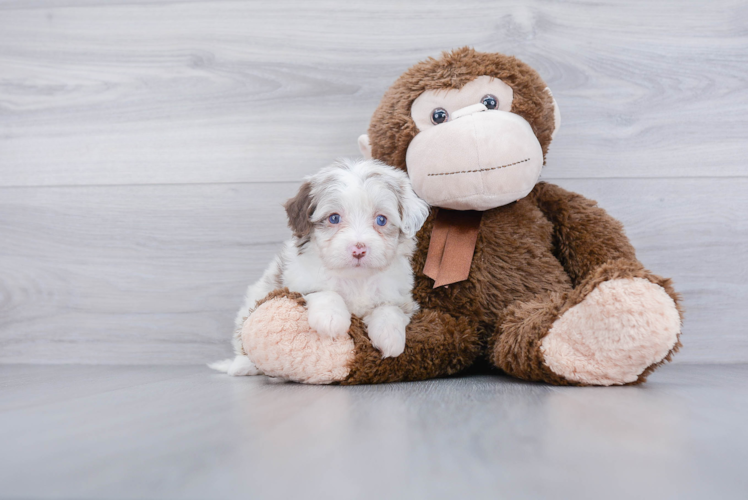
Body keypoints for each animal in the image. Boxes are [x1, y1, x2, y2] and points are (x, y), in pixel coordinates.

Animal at [213, 159, 430, 376]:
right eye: (334, 218)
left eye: (381, 220)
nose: (359, 249)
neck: (356, 279)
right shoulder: (298, 283)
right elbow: (325, 292)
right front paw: (332, 319)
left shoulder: (400, 297)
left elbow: (389, 308)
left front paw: (390, 336)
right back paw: (243, 365)